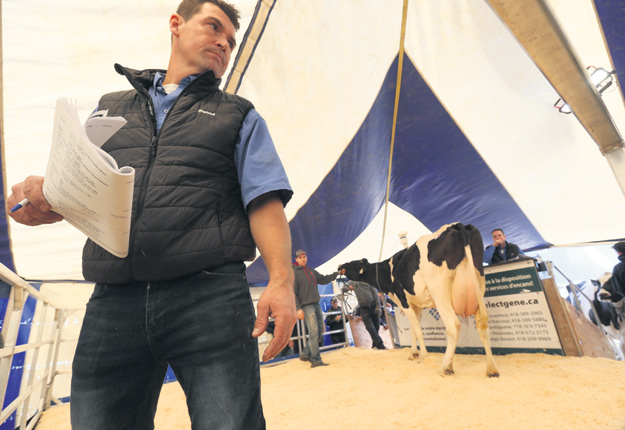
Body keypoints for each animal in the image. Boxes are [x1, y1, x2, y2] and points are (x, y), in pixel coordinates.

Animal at [336, 223, 498, 378]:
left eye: (352, 264)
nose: (339, 266)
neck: (388, 271)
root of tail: (457, 225)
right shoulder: (417, 304)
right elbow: (413, 328)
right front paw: (413, 354)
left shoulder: (404, 301)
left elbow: (418, 330)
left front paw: (424, 356)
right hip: (479, 284)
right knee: (483, 324)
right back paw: (492, 369)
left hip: (440, 291)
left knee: (453, 325)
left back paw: (446, 367)